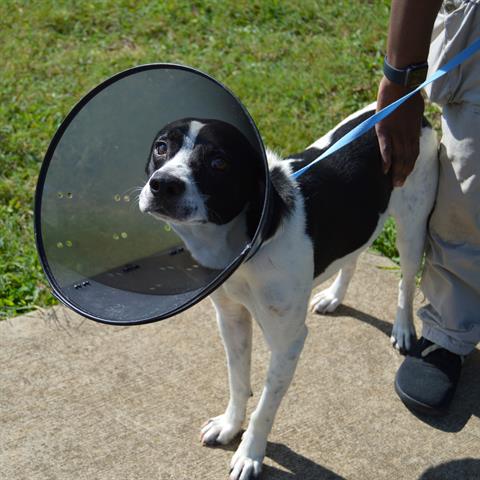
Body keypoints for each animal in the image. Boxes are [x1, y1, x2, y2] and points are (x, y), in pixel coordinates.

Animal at [138, 106, 438, 480]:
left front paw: (250, 454)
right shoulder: (231, 318)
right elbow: (238, 381)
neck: (250, 239)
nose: (163, 184)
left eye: (219, 163)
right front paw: (229, 426)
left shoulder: (288, 342)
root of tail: (412, 110)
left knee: (406, 281)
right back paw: (333, 297)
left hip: (412, 229)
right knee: (353, 257)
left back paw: (403, 327)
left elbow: (265, 407)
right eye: (161, 147)